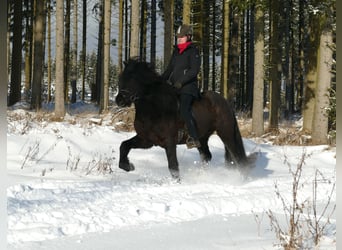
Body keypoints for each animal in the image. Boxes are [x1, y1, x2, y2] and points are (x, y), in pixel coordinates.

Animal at [116, 58, 252, 180]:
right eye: (121, 78)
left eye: (133, 79)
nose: (119, 100)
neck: (154, 108)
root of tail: (224, 101)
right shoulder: (146, 140)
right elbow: (124, 146)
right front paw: (128, 166)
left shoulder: (169, 142)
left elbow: (173, 167)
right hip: (202, 138)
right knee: (207, 156)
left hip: (226, 134)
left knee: (238, 157)